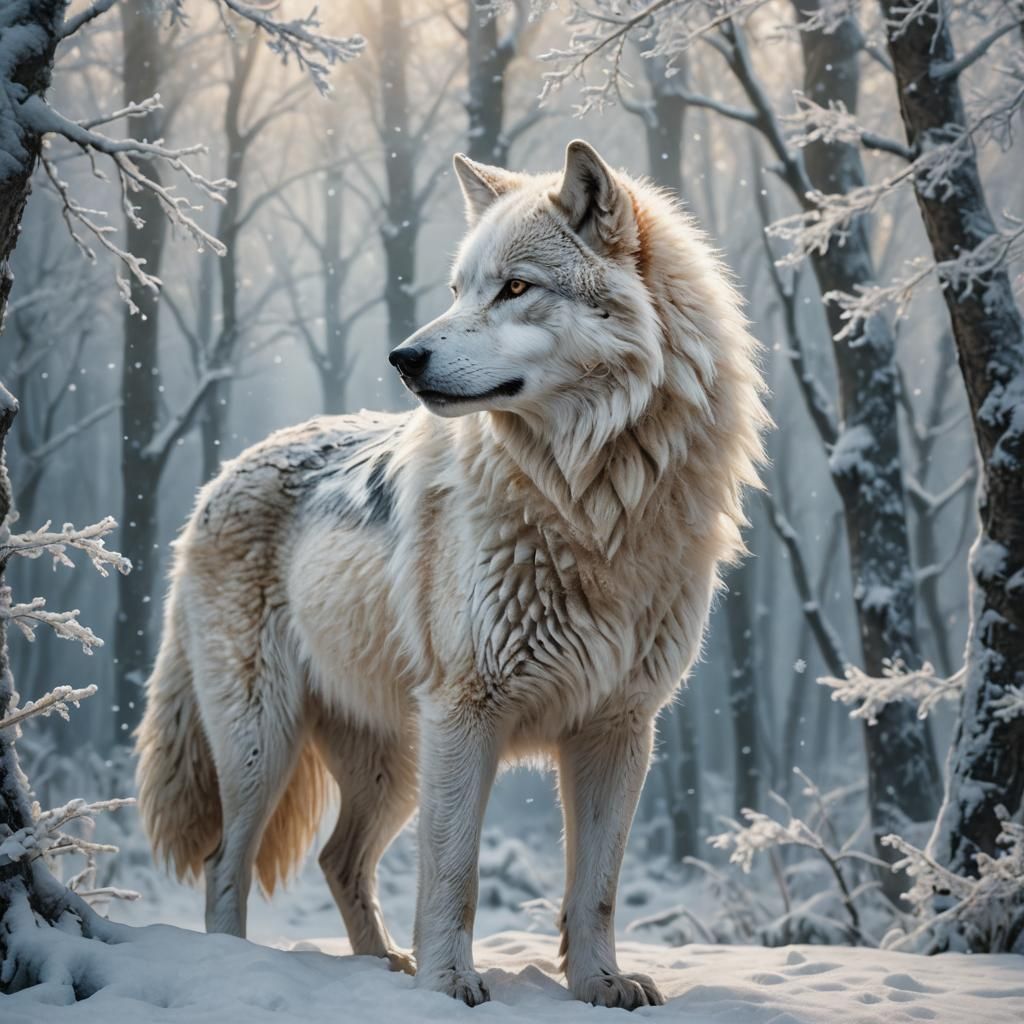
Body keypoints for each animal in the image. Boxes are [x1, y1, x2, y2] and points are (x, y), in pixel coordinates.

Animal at [136, 140, 766, 1009]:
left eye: (515, 288)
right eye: (458, 290)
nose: (404, 358)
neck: (590, 506)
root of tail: (217, 481)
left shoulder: (619, 726)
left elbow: (596, 885)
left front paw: (600, 983)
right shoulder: (467, 712)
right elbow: (455, 873)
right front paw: (448, 986)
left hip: (394, 759)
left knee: (338, 858)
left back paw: (382, 967)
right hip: (269, 741)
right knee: (223, 862)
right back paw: (244, 968)